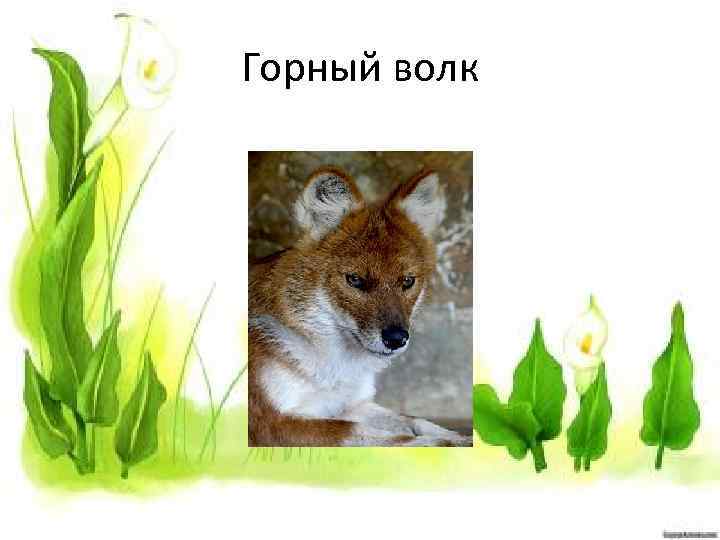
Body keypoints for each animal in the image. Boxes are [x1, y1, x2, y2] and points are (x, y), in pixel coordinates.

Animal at [248, 167, 471, 446]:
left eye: (407, 281)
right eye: (355, 280)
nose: (396, 338)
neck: (331, 364)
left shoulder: (350, 404)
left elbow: (412, 420)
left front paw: (458, 436)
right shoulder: (267, 423)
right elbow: (378, 436)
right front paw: (438, 444)